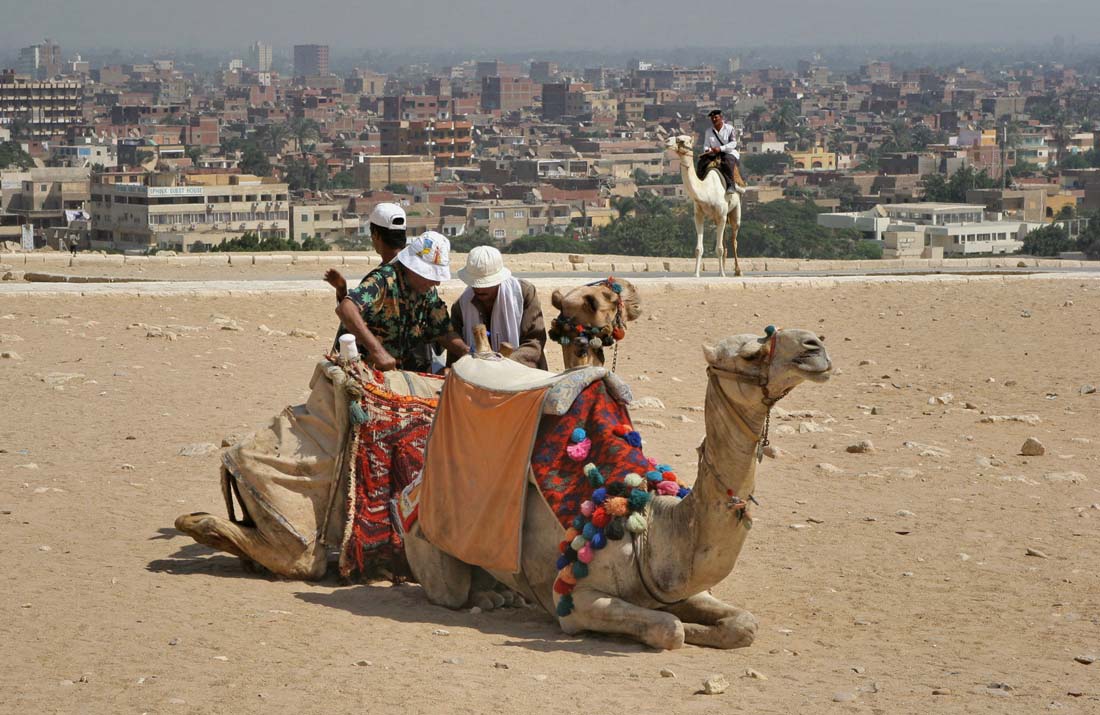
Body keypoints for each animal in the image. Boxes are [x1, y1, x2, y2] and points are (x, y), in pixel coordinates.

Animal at [664, 132, 743, 277]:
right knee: (724, 241)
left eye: (682, 140)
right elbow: (699, 249)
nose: (667, 141)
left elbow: (719, 248)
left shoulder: (721, 215)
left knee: (734, 239)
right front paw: (696, 274)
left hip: (735, 210)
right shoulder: (699, 215)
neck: (707, 191)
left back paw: (737, 271)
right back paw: (722, 268)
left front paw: (722, 275)